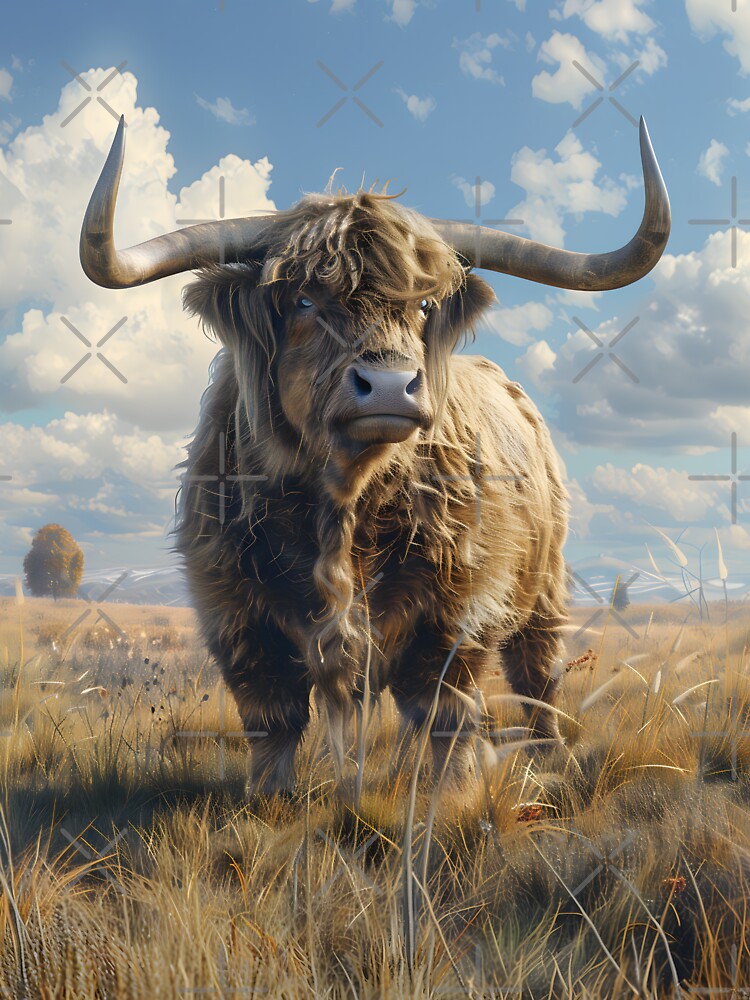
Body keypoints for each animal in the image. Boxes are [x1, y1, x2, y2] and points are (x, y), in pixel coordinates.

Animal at [80, 117, 670, 795]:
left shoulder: (458, 610)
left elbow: (443, 712)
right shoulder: (233, 611)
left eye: (422, 305)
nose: (390, 385)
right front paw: (269, 798)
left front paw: (450, 796)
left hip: (544, 589)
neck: (345, 502)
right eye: (303, 302)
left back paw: (548, 758)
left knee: (537, 678)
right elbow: (272, 718)